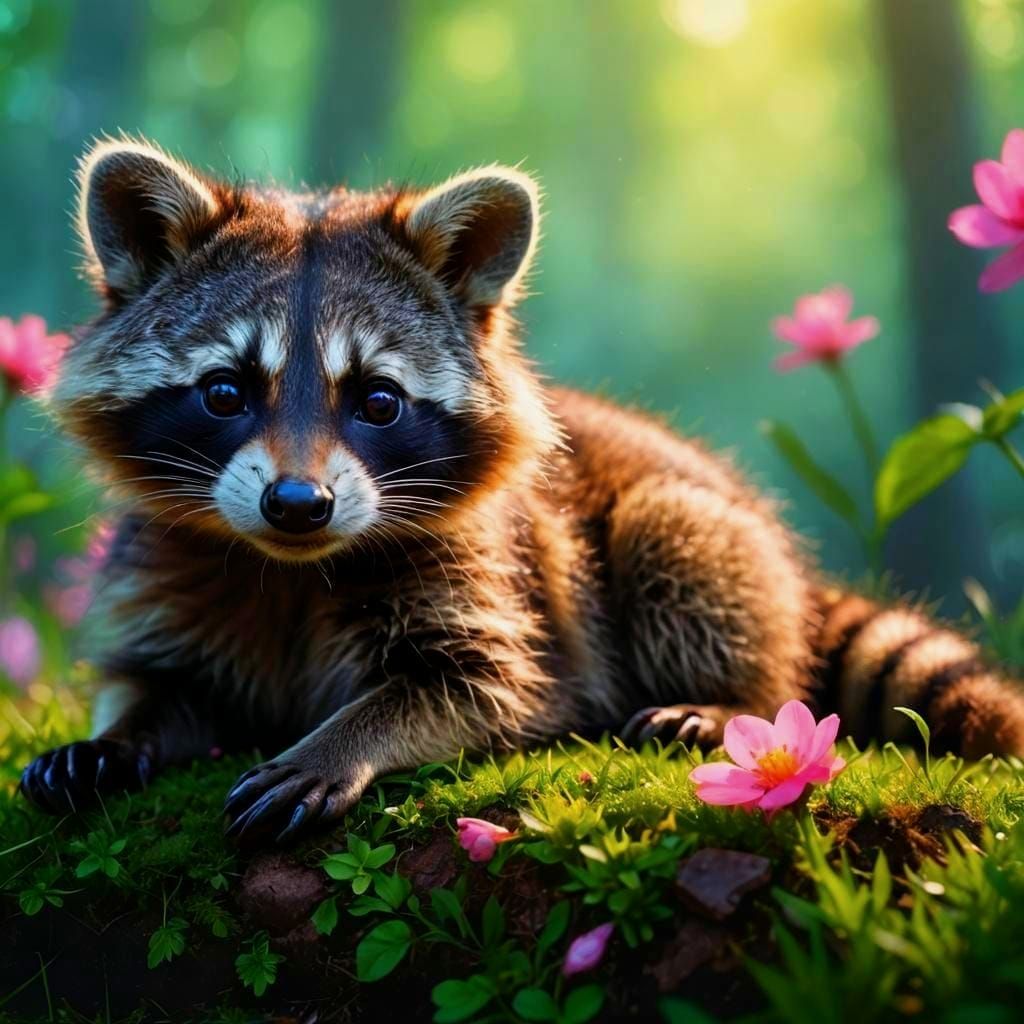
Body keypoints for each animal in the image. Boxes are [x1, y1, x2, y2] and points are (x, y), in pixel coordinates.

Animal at [19, 137, 1024, 844]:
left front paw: (344, 738)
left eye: (377, 400)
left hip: (702, 532)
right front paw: (115, 737)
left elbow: (482, 687)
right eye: (226, 392)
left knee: (685, 547)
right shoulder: (164, 577)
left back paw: (729, 694)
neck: (293, 565)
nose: (298, 505)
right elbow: (157, 684)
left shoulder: (502, 583)